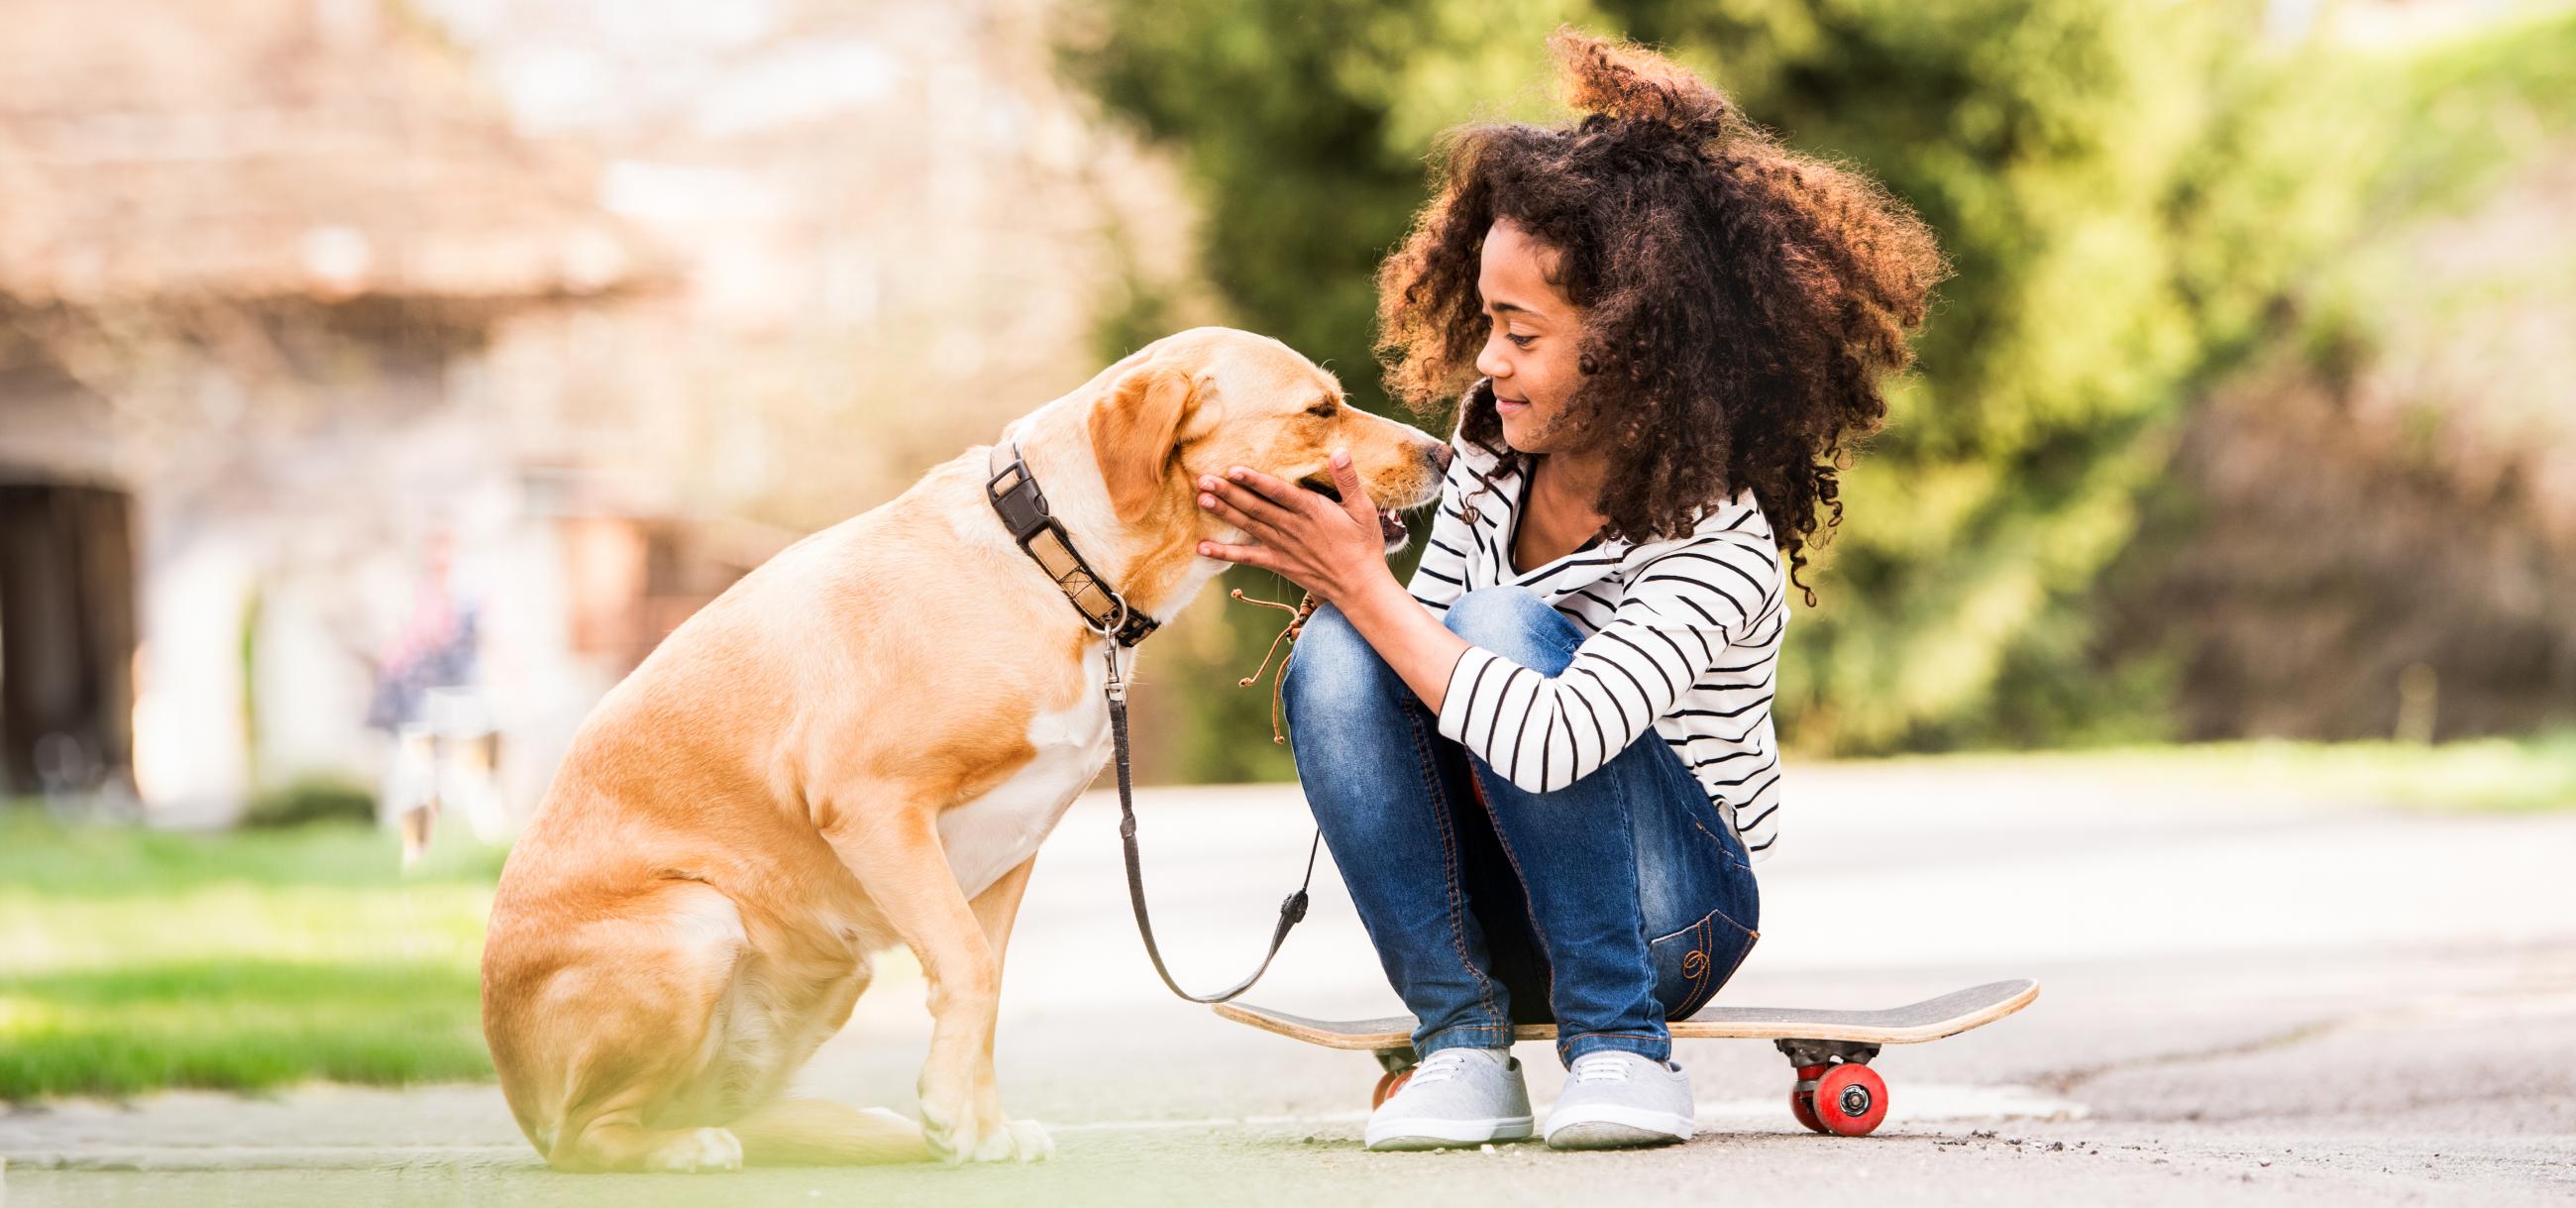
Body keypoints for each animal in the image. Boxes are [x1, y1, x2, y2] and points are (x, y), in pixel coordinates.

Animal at [483, 327, 1452, 1169]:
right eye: (1319, 410)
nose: (1444, 453)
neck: (1055, 565)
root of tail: (515, 1092)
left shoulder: (1007, 851)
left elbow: (985, 976)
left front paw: (978, 1126)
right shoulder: (874, 805)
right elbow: (969, 965)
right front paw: (955, 1114)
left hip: (831, 970)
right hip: (700, 923)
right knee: (587, 1134)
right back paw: (679, 1149)